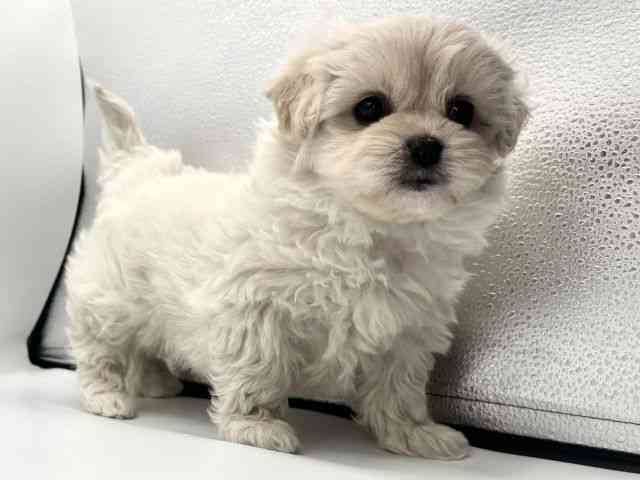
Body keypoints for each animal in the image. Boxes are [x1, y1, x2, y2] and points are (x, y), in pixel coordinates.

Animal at [66, 15, 527, 460]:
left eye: (461, 110)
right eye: (369, 108)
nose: (426, 146)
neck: (367, 228)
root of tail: (138, 169)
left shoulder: (409, 329)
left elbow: (400, 386)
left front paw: (414, 435)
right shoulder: (253, 305)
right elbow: (257, 367)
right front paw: (255, 426)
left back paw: (156, 381)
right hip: (110, 296)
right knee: (97, 344)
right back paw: (107, 396)